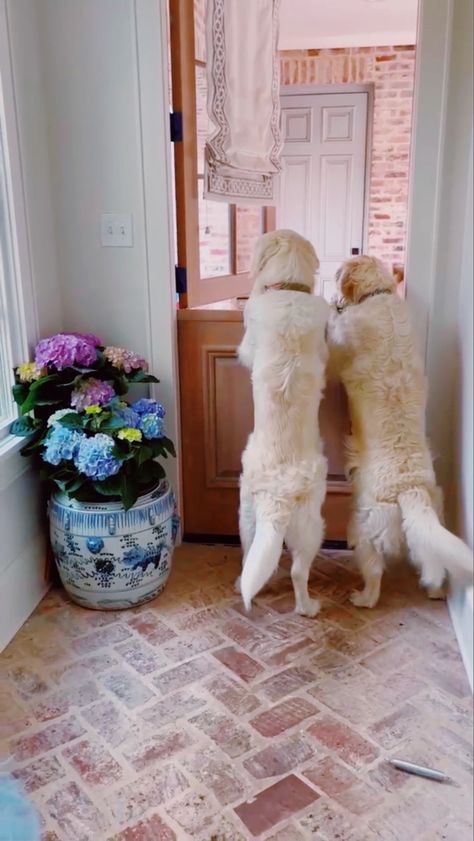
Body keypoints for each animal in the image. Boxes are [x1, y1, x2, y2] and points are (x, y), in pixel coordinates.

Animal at [328, 253, 472, 608]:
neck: (378, 296)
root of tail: (410, 489)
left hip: (364, 527)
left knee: (374, 575)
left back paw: (362, 598)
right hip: (428, 527)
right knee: (434, 566)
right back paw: (435, 591)